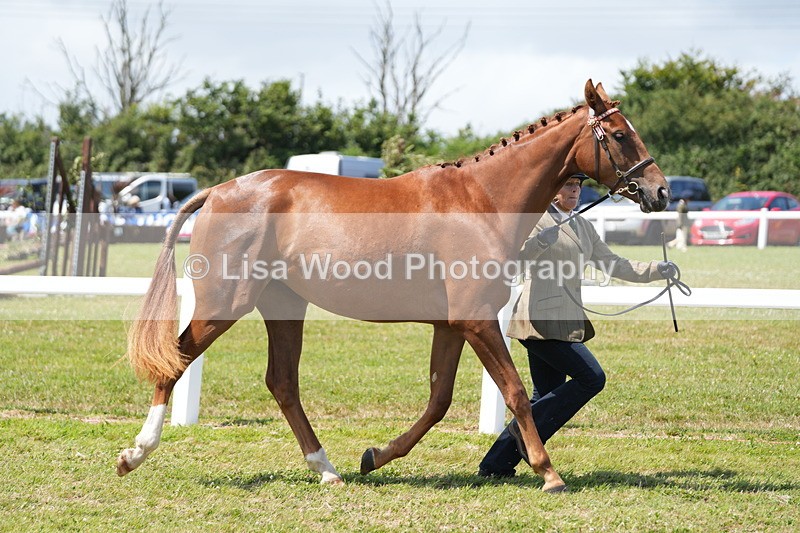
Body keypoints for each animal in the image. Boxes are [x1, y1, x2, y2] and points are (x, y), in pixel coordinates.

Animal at [117, 80, 670, 493]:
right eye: (619, 134)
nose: (660, 191)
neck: (481, 201)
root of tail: (216, 191)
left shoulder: (452, 325)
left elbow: (438, 401)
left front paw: (375, 456)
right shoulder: (476, 322)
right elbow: (513, 389)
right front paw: (548, 471)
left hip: (283, 306)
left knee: (282, 383)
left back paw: (328, 470)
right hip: (226, 304)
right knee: (177, 361)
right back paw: (134, 454)